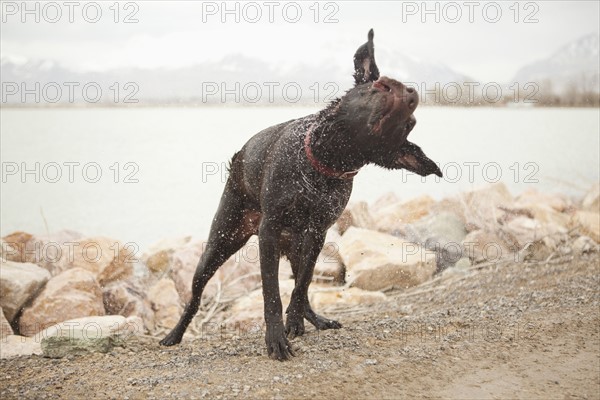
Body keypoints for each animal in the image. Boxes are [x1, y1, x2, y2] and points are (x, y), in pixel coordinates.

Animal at [162, 28, 442, 360]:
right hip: (220, 242)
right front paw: (276, 339)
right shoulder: (269, 232)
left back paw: (313, 319)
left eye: (409, 124)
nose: (409, 91)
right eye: (379, 86)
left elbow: (301, 285)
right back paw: (174, 334)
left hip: (295, 246)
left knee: (302, 287)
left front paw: (294, 322)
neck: (324, 164)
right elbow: (272, 294)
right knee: (194, 297)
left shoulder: (317, 233)